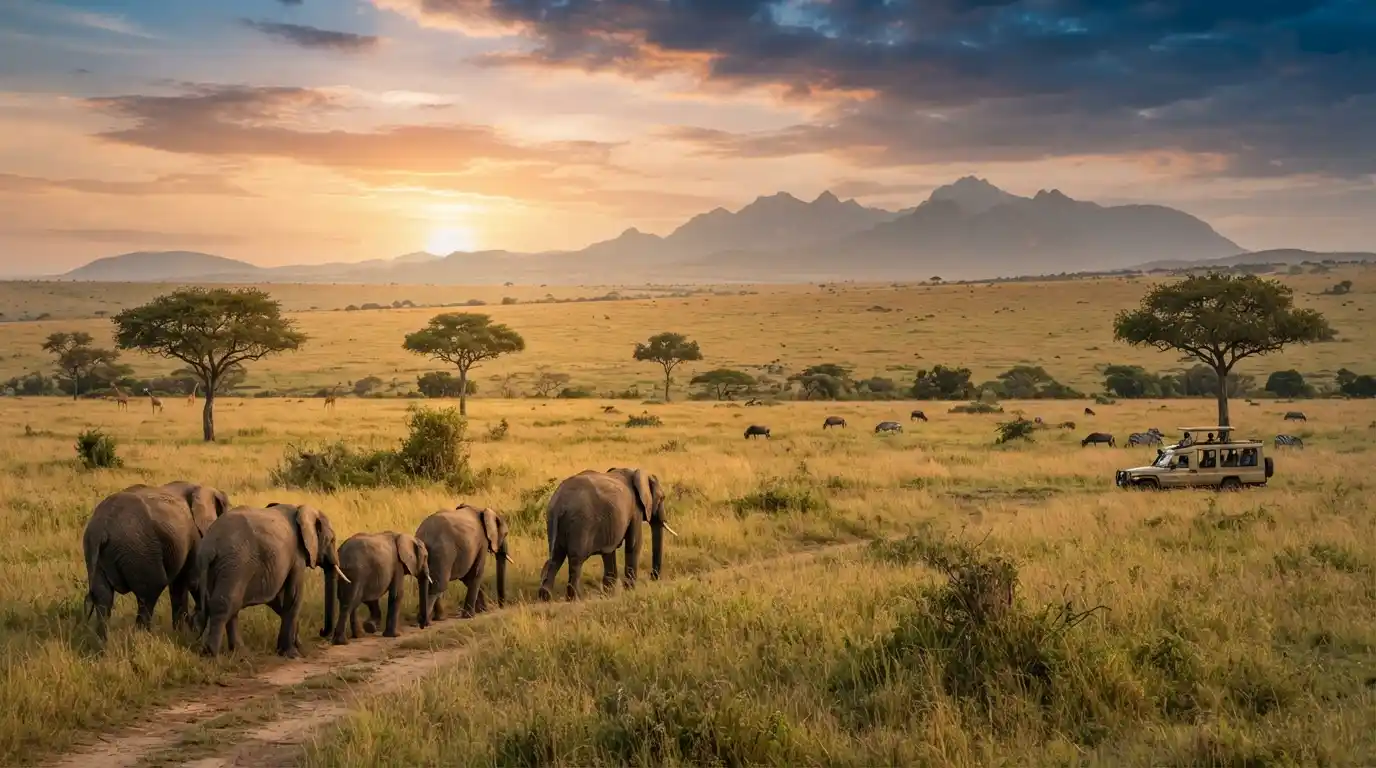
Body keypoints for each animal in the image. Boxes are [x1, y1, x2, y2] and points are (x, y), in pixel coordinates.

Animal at [82, 481, 229, 641]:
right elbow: (192, 581)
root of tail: (101, 528)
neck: (200, 487)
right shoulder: (194, 537)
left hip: (95, 551)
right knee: (150, 591)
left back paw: (103, 643)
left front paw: (181, 632)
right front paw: (184, 632)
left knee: (103, 598)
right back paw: (143, 638)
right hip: (139, 549)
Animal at [195, 502, 347, 657]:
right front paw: (293, 654)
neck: (301, 509)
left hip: (219, 567)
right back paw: (212, 654)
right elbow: (293, 597)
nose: (321, 631)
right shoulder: (297, 556)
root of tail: (209, 546)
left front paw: (292, 648)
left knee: (232, 604)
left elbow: (279, 600)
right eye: (332, 540)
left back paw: (241, 654)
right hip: (235, 565)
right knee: (226, 603)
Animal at [538, 467, 677, 602]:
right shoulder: (635, 509)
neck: (637, 472)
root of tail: (559, 502)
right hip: (580, 523)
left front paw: (608, 593)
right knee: (575, 560)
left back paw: (545, 597)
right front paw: (630, 590)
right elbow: (634, 544)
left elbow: (609, 551)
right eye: (662, 498)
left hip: (554, 521)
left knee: (556, 557)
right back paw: (575, 599)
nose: (653, 577)